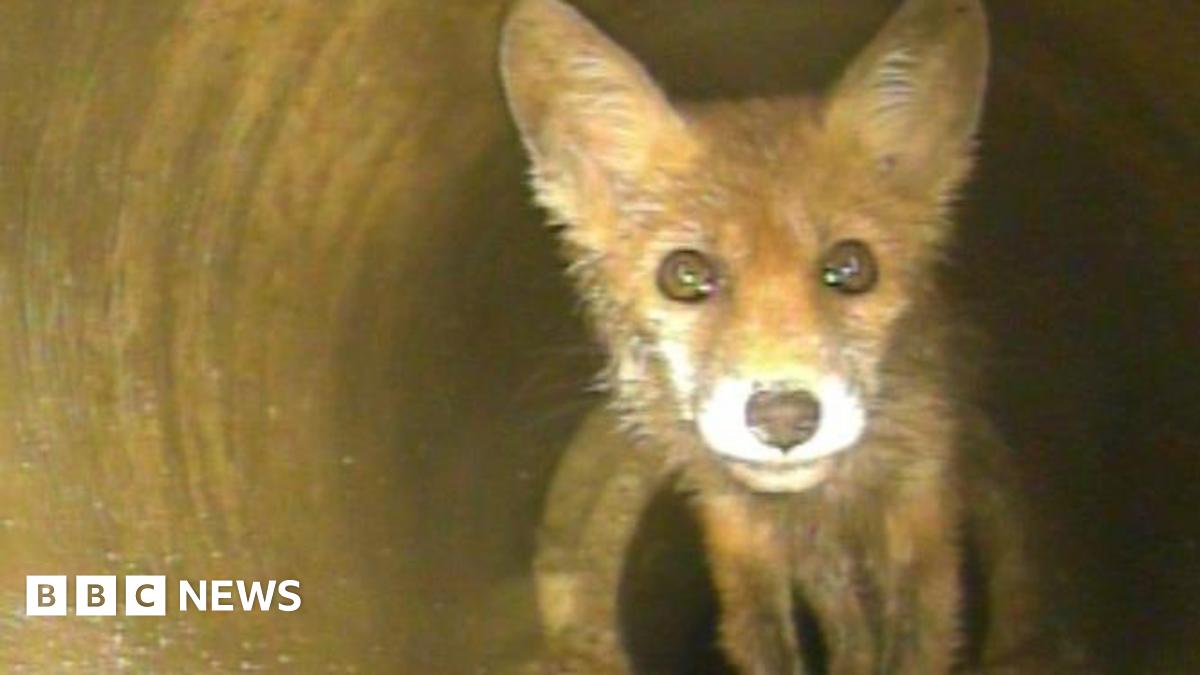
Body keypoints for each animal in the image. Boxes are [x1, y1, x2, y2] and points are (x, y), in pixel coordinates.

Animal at [500, 0, 1063, 673]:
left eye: (851, 267)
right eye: (684, 275)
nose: (784, 418)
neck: (821, 504)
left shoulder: (920, 511)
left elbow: (911, 639)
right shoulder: (740, 532)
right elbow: (773, 636)